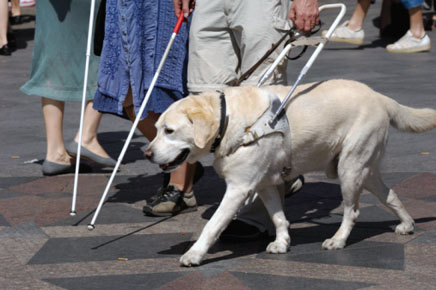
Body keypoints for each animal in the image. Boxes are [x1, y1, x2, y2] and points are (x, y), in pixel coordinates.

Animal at [144, 78, 436, 266]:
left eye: (169, 130)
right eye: (156, 129)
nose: (147, 153)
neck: (230, 121)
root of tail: (379, 96)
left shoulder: (239, 188)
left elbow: (212, 225)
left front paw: (195, 254)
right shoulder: (264, 184)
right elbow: (278, 217)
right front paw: (283, 242)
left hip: (350, 169)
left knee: (352, 212)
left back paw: (338, 240)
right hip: (365, 169)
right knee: (391, 195)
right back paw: (407, 224)